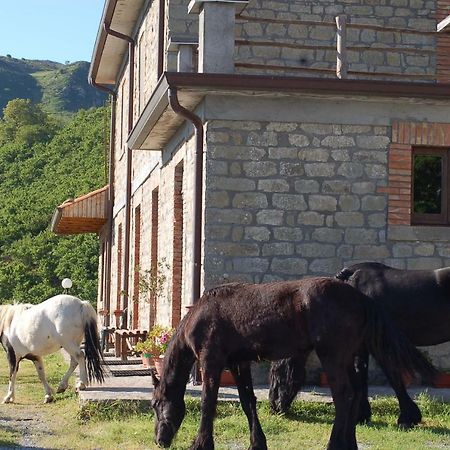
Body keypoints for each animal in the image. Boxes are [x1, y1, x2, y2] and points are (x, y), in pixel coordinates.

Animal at [152, 278, 436, 450]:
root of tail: (361, 298)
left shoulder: (211, 361)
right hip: (348, 358)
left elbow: (207, 403)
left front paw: (201, 443)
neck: (201, 315)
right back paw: (349, 444)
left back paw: (334, 444)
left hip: (332, 357)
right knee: (355, 394)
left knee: (344, 395)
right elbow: (247, 402)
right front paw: (257, 443)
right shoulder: (239, 363)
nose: (159, 439)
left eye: (156, 404)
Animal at [268, 264, 448, 428]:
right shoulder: (362, 346)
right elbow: (361, 374)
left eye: (277, 372)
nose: (274, 407)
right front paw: (362, 415)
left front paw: (407, 417)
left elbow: (391, 376)